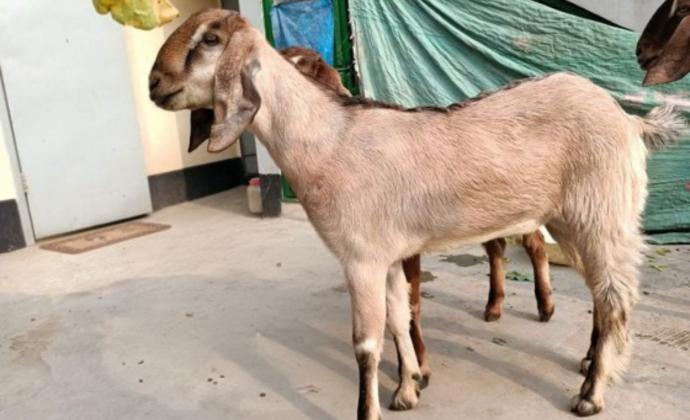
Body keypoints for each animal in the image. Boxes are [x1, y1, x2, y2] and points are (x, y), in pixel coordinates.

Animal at [149, 9, 685, 419]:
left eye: (210, 40)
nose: (155, 83)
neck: (328, 141)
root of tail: (629, 121)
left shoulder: (360, 257)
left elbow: (366, 343)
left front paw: (370, 410)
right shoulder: (386, 256)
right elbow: (399, 318)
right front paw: (408, 388)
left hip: (603, 214)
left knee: (615, 297)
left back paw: (591, 395)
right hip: (573, 220)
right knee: (601, 294)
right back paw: (589, 364)